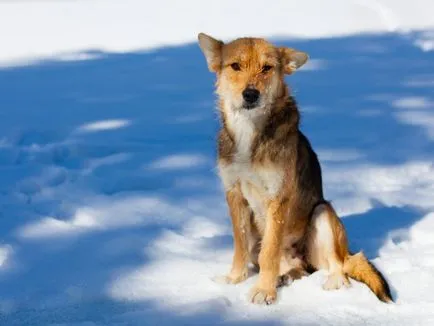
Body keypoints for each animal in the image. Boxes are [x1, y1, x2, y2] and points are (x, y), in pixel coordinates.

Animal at [198, 33, 394, 306]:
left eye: (267, 68)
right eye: (235, 66)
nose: (251, 94)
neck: (250, 133)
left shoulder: (277, 198)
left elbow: (269, 253)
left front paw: (264, 291)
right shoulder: (234, 194)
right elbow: (240, 245)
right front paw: (235, 279)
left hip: (322, 214)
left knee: (340, 265)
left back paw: (331, 282)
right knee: (295, 267)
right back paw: (285, 276)